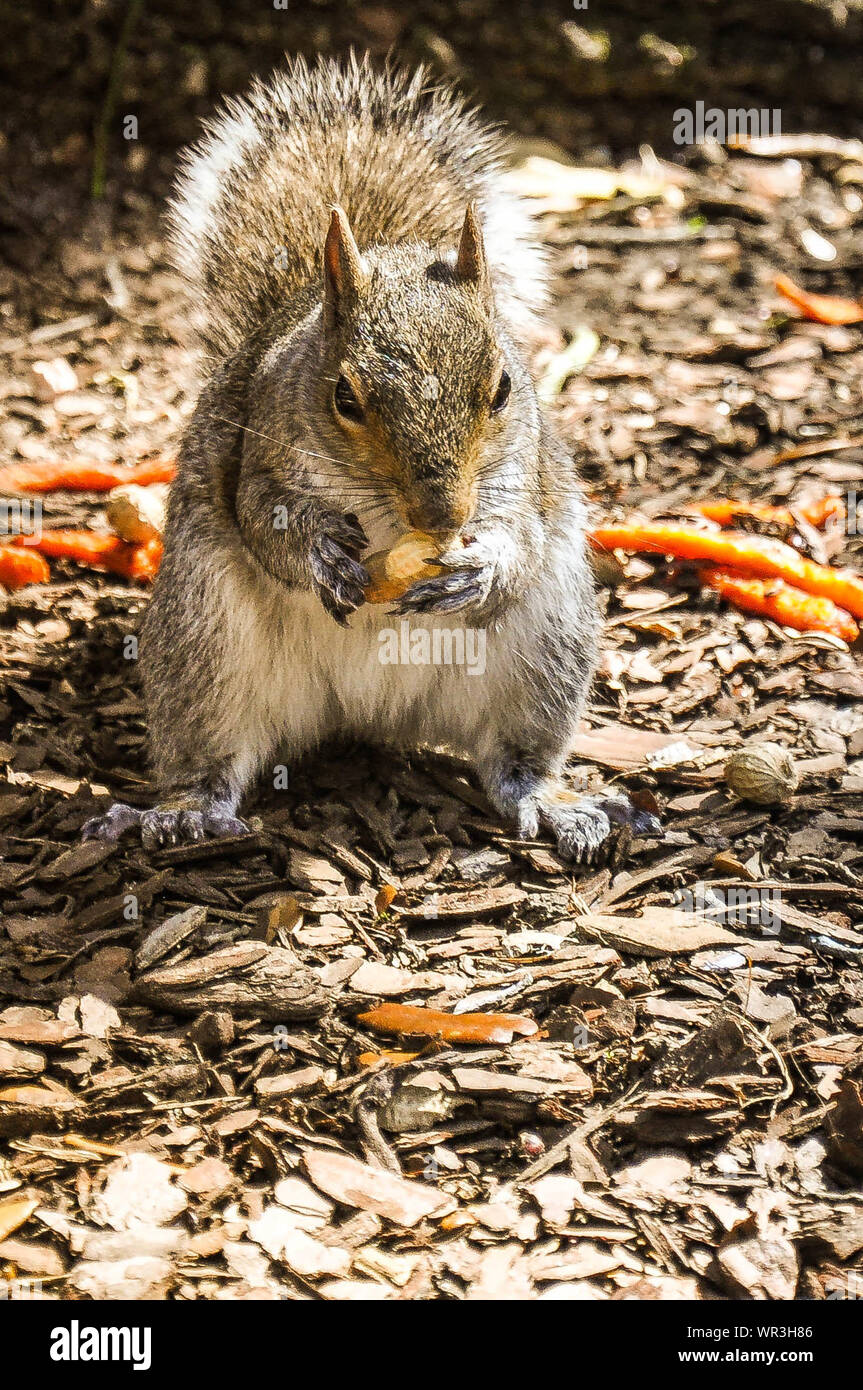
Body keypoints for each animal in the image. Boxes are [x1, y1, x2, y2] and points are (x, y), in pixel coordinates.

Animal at [83, 54, 660, 860]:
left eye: (504, 387)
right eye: (345, 398)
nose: (444, 515)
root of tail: (367, 712)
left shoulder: (524, 475)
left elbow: (521, 534)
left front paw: (483, 566)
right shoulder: (259, 457)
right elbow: (264, 521)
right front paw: (320, 551)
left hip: (547, 643)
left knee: (513, 760)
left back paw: (552, 802)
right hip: (205, 640)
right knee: (213, 755)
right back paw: (184, 810)